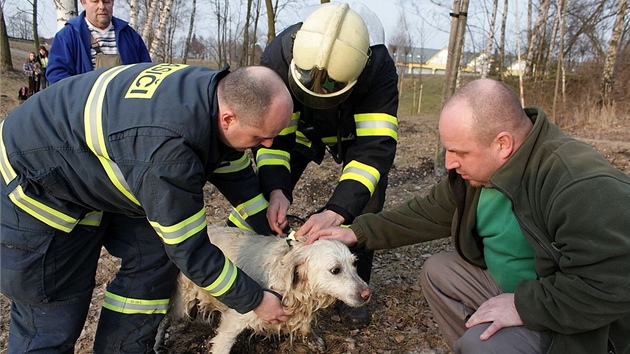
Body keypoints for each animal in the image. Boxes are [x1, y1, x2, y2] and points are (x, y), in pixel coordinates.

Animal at [160, 227, 372, 354]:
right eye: (335, 270)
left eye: (354, 264)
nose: (367, 294)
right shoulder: (235, 319)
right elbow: (222, 344)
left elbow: (305, 324)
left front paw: (310, 337)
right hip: (182, 300)